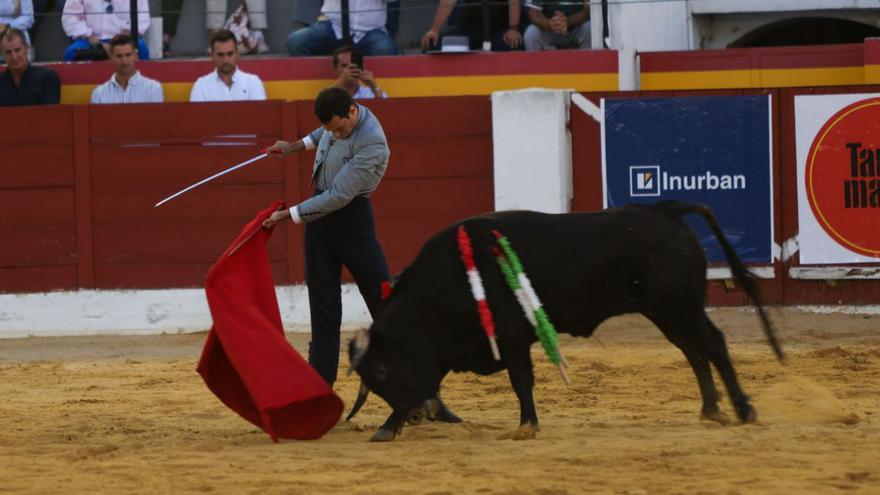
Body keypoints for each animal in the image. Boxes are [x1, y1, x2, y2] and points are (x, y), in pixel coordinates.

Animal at [348, 201, 780, 442]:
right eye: (374, 381)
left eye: (382, 372)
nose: (415, 416)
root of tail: (663, 209)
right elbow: (433, 381)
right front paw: (388, 426)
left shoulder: (511, 337)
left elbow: (520, 380)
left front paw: (526, 426)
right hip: (665, 310)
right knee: (693, 350)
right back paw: (711, 408)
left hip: (681, 305)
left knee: (713, 343)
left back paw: (743, 409)